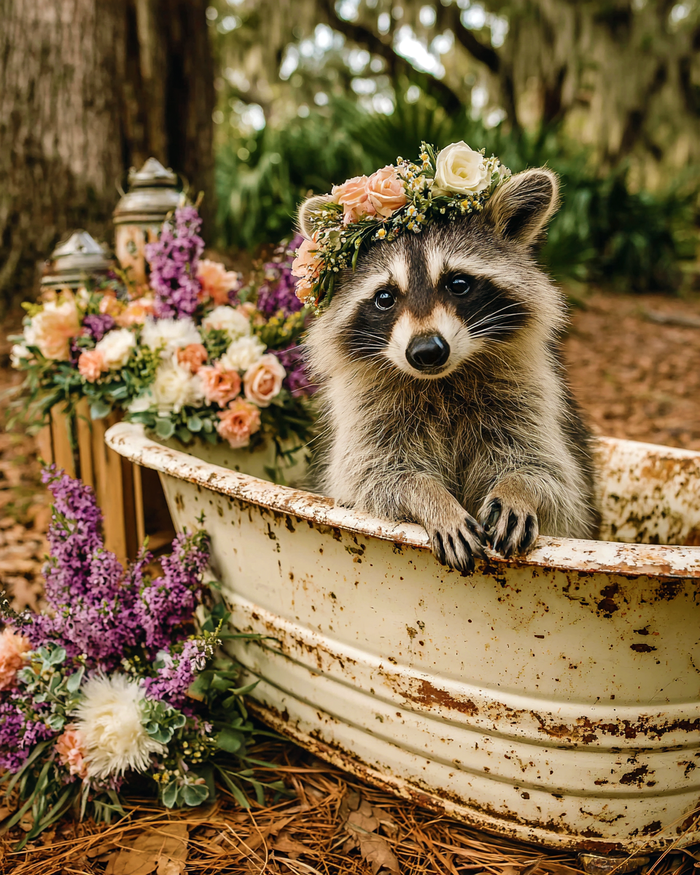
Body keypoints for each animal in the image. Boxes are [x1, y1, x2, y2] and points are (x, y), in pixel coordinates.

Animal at [299, 168, 599, 572]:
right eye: (385, 298)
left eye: (458, 283)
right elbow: (373, 476)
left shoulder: (528, 397)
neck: (441, 382)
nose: (426, 352)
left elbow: (549, 472)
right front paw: (432, 499)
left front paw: (518, 488)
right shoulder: (368, 414)